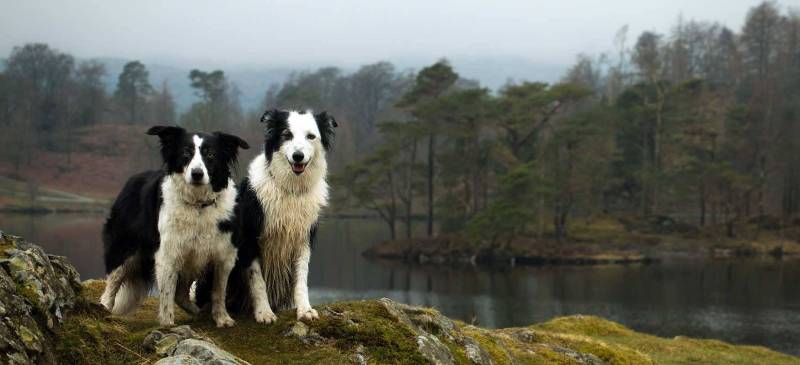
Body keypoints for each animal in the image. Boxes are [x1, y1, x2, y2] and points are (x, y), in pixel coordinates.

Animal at [101, 126, 248, 328]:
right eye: (186, 153)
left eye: (210, 154)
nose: (197, 173)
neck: (198, 205)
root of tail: (132, 180)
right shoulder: (168, 253)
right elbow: (166, 293)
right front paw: (167, 323)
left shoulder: (223, 253)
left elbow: (219, 291)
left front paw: (222, 318)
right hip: (125, 247)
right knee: (112, 282)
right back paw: (104, 309)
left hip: (192, 257)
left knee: (181, 294)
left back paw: (199, 313)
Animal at [202, 108, 340, 322]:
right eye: (287, 135)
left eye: (311, 136)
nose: (298, 156)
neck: (291, 189)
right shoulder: (250, 238)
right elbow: (257, 280)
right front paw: (264, 312)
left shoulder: (303, 239)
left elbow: (301, 278)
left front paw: (305, 309)